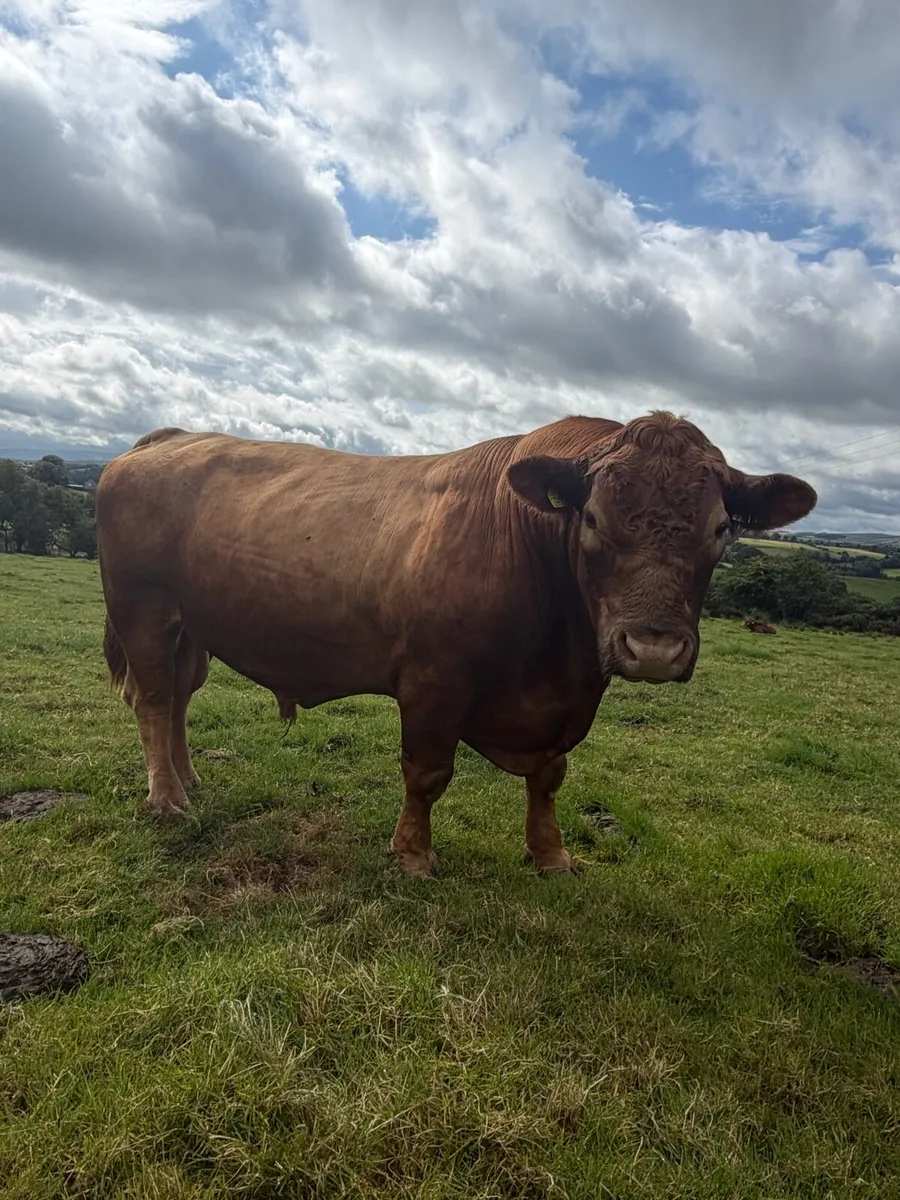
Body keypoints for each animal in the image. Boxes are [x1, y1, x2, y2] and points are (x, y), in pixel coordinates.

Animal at [96, 411, 816, 877]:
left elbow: (551, 778)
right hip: (144, 611)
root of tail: (165, 438)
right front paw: (414, 854)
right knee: (152, 700)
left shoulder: (565, 702)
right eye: (591, 518)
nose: (655, 648)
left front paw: (550, 855)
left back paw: (189, 779)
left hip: (192, 628)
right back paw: (167, 801)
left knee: (179, 698)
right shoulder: (434, 682)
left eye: (722, 529)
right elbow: (428, 774)